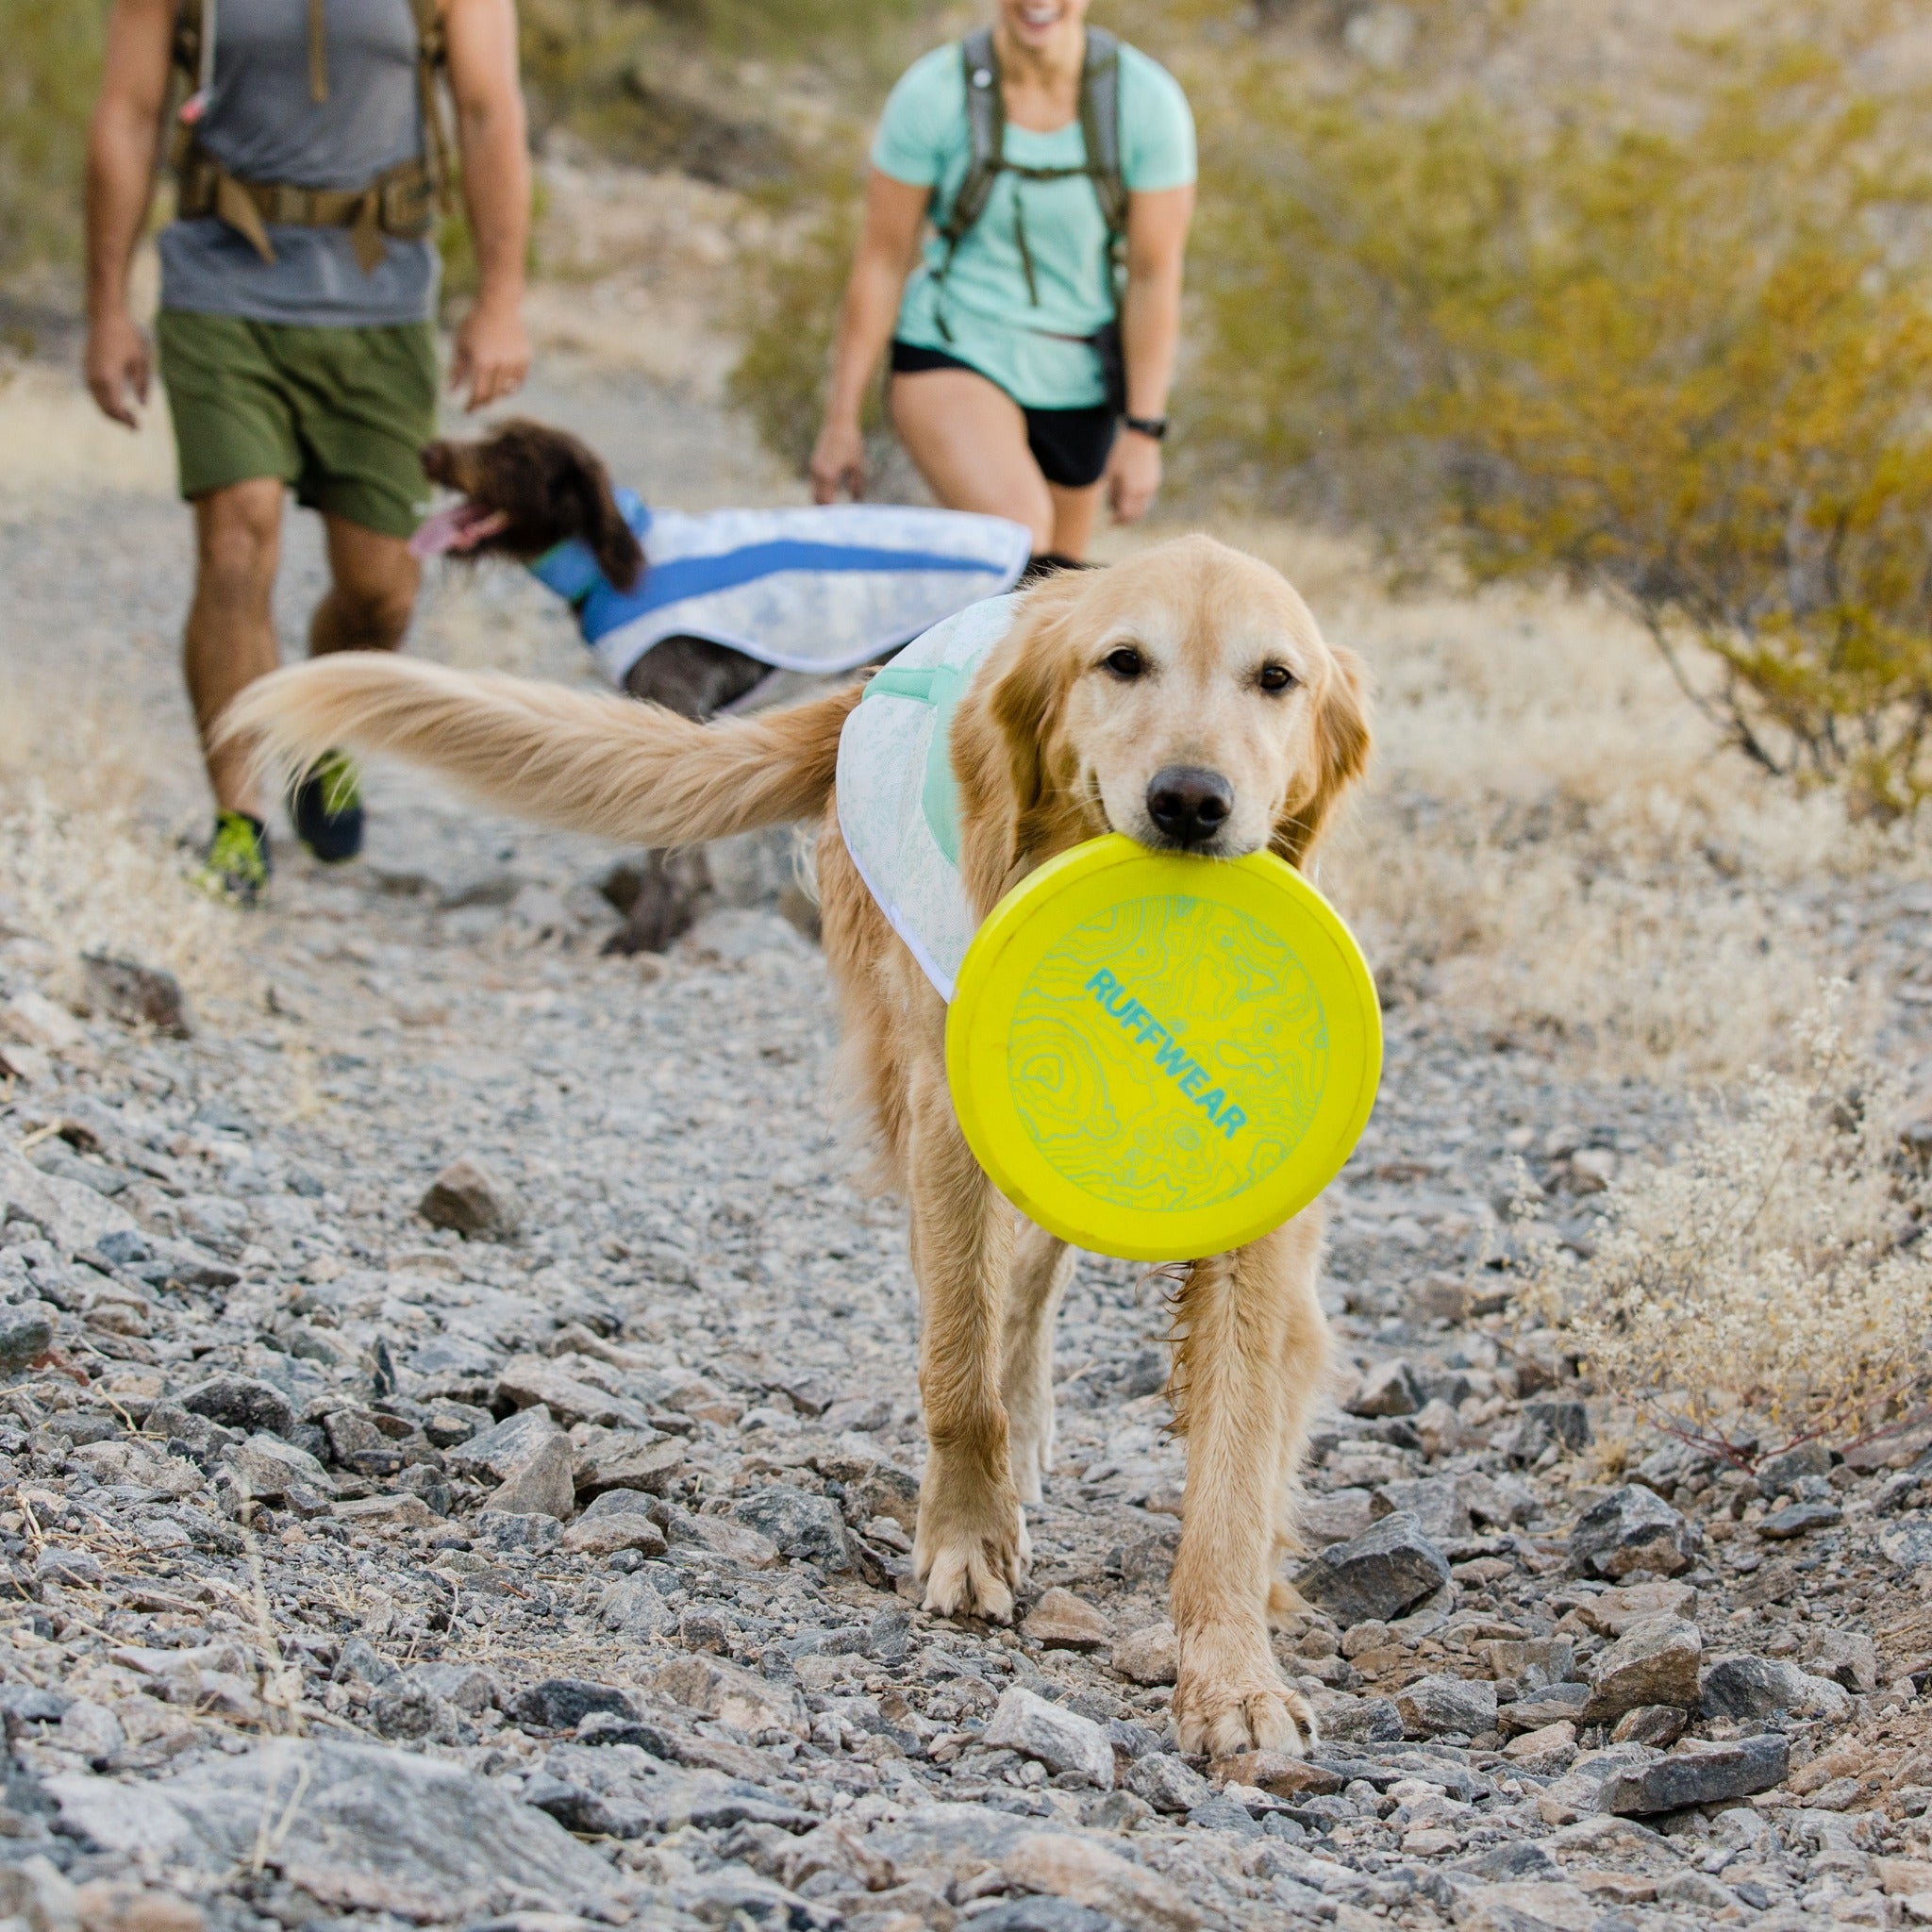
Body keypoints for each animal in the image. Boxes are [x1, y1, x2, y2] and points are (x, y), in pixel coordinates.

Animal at [222, 537, 1375, 1761]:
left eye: (1275, 680)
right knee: (996, 1295)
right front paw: (967, 1535)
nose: (1190, 800)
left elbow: (1236, 1460)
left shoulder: (1260, 1210)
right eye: (1122, 662)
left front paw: (1232, 1672)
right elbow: (956, 1363)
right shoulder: (949, 1126)